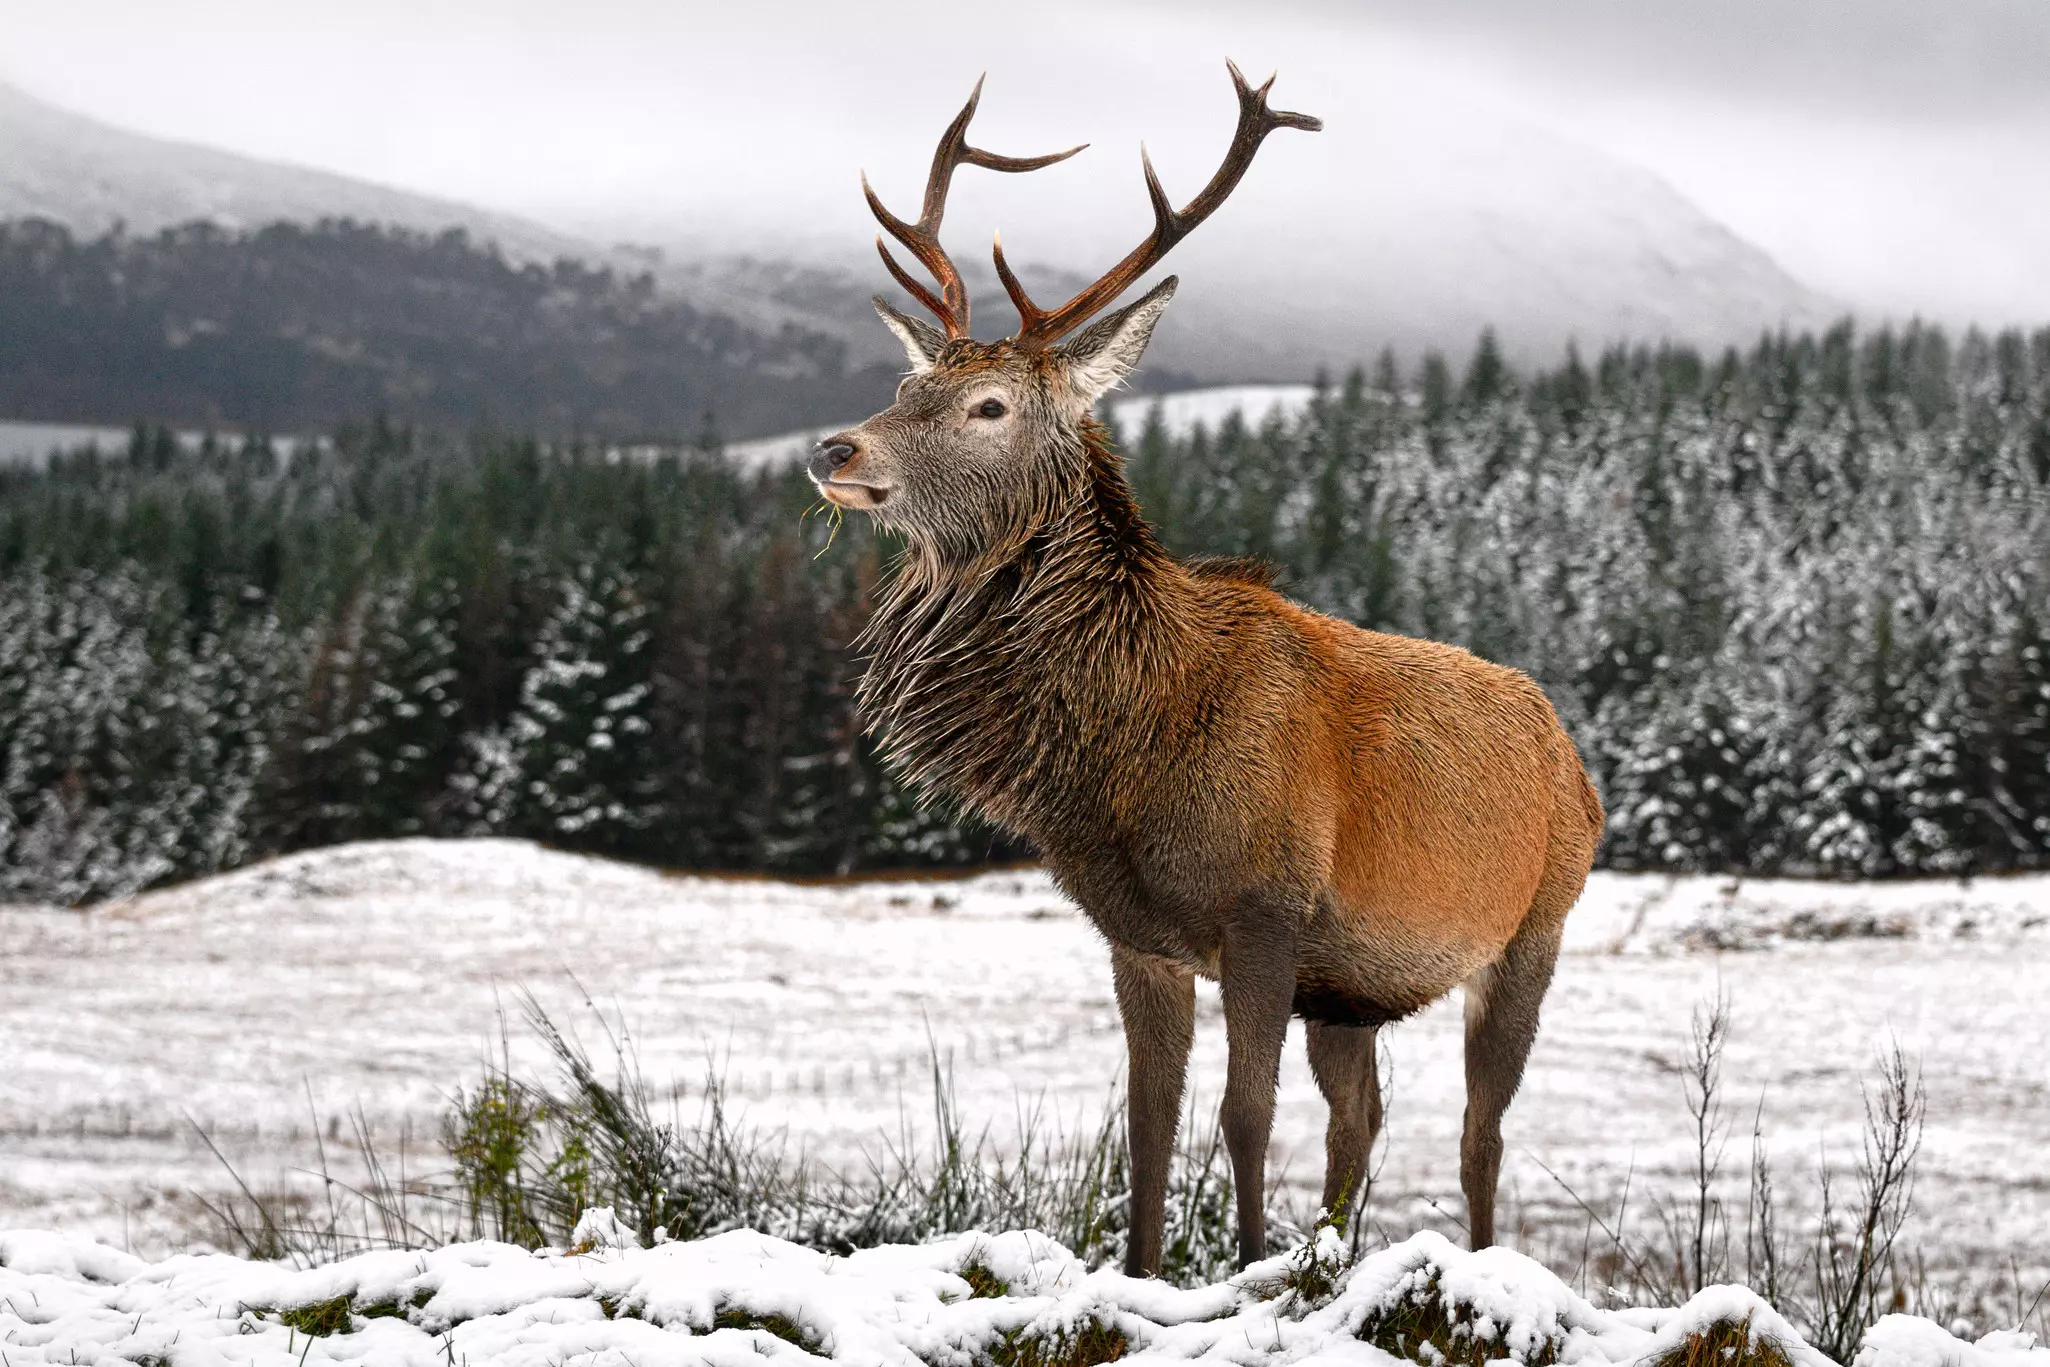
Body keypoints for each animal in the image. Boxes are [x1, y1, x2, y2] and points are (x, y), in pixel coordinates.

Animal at [807, 62, 1604, 1277]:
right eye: (906, 387)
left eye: (990, 405)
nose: (835, 448)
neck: (1127, 748)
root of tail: (1572, 752)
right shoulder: (1137, 932)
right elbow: (1146, 1121)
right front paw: (1147, 1271)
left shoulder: (1267, 906)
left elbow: (1243, 1113)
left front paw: (1244, 1266)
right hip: (1354, 987)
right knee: (1361, 1114)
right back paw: (1330, 1252)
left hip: (1533, 925)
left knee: (1481, 1127)